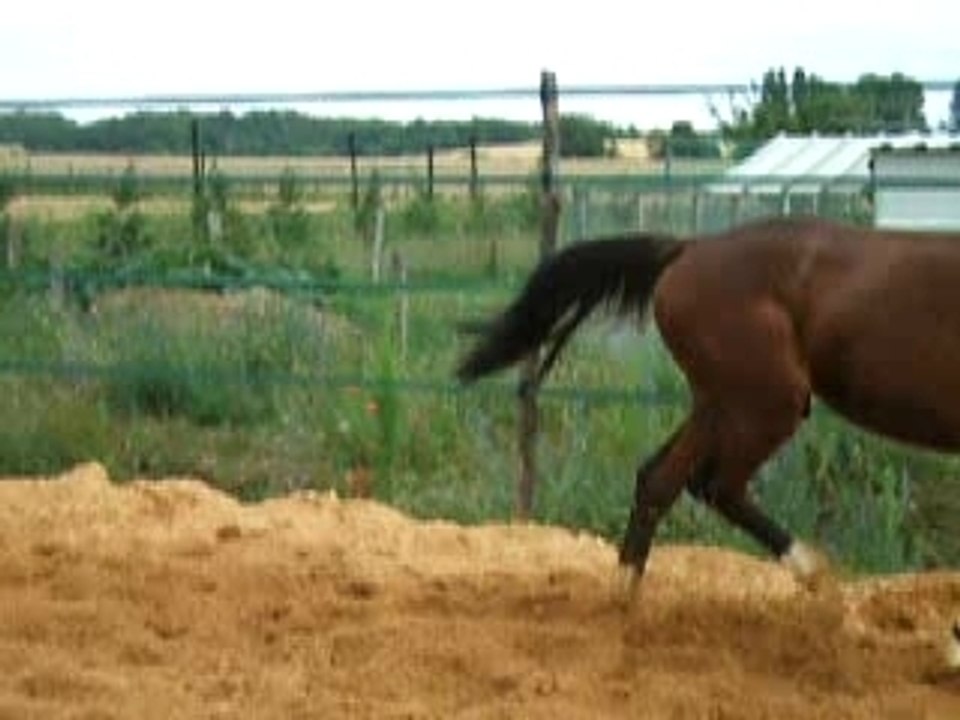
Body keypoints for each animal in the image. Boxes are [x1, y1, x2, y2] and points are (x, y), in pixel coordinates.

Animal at [456, 214, 960, 662]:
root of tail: (689, 249)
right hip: (768, 400)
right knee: (715, 485)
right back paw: (816, 577)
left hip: (720, 402)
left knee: (660, 480)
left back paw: (624, 602)